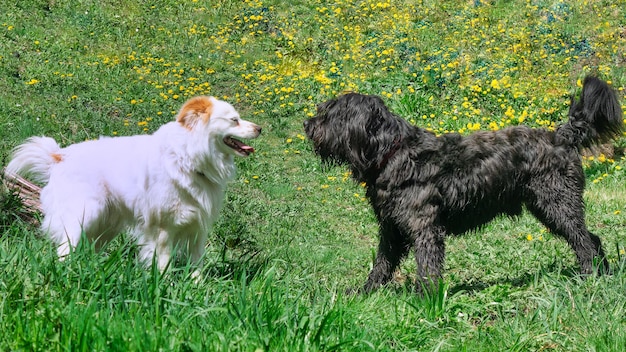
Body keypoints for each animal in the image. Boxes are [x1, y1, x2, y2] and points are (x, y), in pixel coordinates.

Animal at [5, 95, 258, 272]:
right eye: (234, 120)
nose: (260, 128)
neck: (189, 158)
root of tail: (59, 157)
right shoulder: (163, 230)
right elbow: (163, 264)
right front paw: (165, 288)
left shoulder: (197, 228)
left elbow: (197, 267)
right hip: (84, 216)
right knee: (65, 250)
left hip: (105, 227)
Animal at [302, 77, 620, 294]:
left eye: (331, 114)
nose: (307, 125)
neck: (395, 152)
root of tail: (562, 136)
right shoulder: (391, 228)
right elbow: (381, 264)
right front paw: (364, 292)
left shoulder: (424, 227)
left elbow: (427, 266)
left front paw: (427, 300)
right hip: (551, 208)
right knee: (592, 239)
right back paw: (601, 275)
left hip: (557, 205)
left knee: (584, 241)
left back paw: (589, 278)